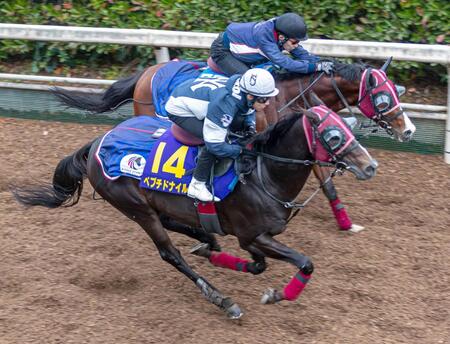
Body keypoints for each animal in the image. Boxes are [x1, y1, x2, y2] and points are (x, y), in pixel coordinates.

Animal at [14, 108, 378, 320]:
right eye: (333, 135)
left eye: (350, 126)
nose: (370, 166)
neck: (262, 173)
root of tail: (96, 143)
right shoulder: (252, 234)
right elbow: (304, 263)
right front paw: (275, 295)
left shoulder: (252, 238)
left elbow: (258, 266)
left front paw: (216, 255)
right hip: (134, 207)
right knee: (169, 252)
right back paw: (221, 298)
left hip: (155, 204)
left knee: (177, 224)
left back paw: (206, 242)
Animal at [51, 57, 414, 232]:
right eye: (383, 97)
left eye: (397, 91)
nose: (408, 129)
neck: (287, 95)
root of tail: (146, 73)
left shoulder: (308, 141)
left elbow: (327, 185)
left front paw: (346, 222)